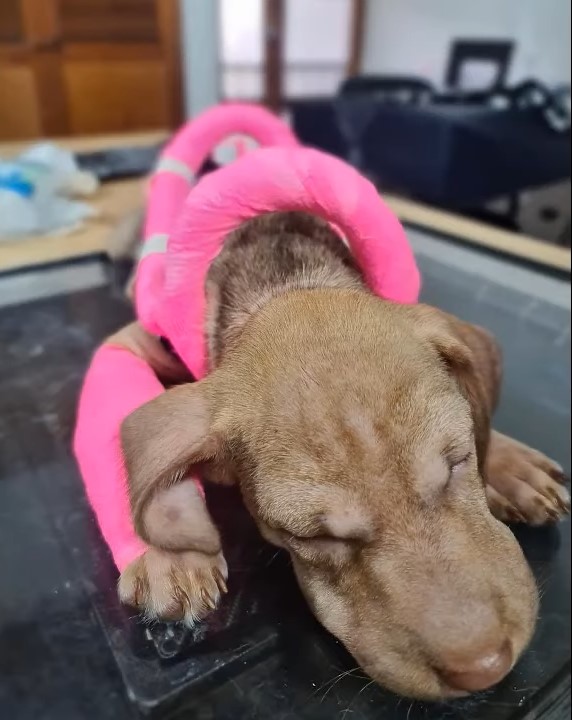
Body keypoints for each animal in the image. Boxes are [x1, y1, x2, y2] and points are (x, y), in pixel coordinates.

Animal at [110, 211, 568, 700]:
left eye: (458, 462)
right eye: (312, 537)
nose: (485, 670)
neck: (287, 282)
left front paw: (510, 465)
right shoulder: (137, 345)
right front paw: (168, 553)